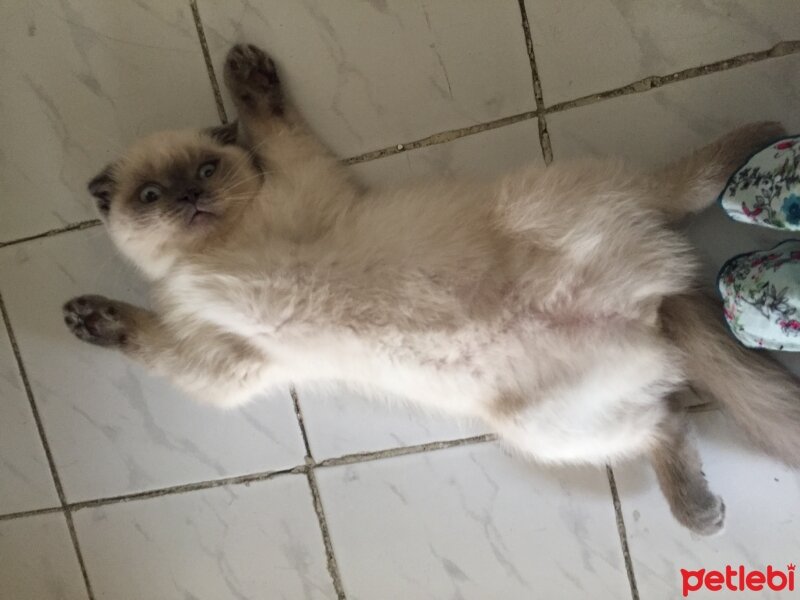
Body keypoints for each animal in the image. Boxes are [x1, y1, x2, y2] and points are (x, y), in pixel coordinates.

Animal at [65, 43, 800, 536]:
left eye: (208, 169)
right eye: (151, 196)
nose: (189, 199)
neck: (215, 252)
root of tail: (655, 299)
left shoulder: (301, 186)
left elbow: (272, 125)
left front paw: (245, 73)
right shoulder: (226, 367)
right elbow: (150, 339)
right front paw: (87, 318)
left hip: (546, 199)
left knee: (673, 187)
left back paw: (758, 143)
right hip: (543, 428)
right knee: (664, 421)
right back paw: (699, 512)